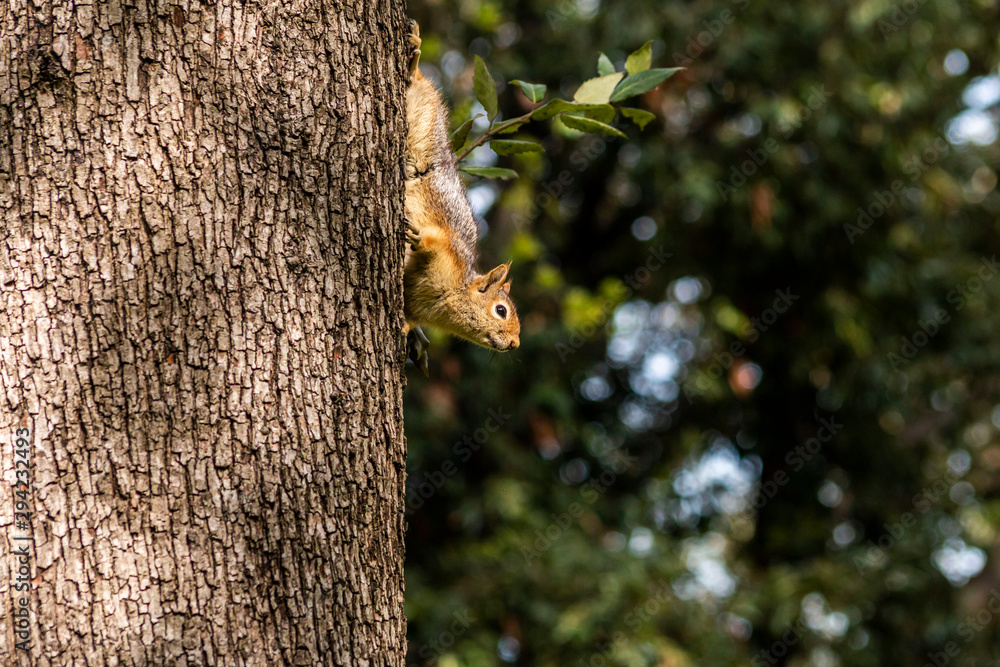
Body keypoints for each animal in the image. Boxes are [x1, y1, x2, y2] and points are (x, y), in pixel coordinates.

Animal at [403, 21, 520, 364]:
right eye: (501, 310)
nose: (515, 344)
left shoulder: (416, 308)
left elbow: (406, 319)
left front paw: (406, 335)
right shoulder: (448, 251)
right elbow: (435, 242)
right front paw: (417, 238)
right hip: (422, 116)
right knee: (417, 84)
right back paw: (414, 58)